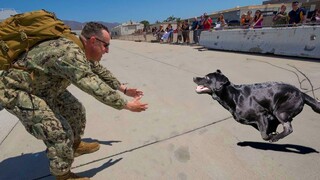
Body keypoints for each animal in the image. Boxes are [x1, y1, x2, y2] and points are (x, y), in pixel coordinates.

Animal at [192, 69, 320, 141]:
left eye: (207, 77)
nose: (194, 77)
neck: (233, 96)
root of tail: (301, 93)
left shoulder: (261, 114)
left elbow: (264, 135)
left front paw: (272, 136)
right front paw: (272, 131)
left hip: (280, 111)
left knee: (288, 128)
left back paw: (276, 138)